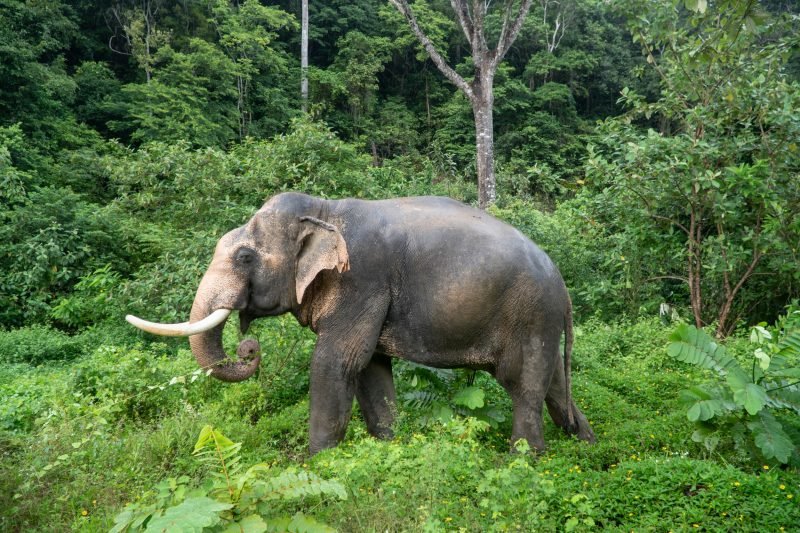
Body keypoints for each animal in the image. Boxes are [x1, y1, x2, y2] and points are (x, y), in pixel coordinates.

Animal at [127, 192, 596, 454]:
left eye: (244, 257)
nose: (249, 349)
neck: (324, 210)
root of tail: (563, 287)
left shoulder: (362, 279)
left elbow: (336, 362)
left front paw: (318, 464)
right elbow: (370, 367)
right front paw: (388, 446)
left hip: (529, 313)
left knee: (524, 386)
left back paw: (525, 459)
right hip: (540, 321)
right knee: (553, 384)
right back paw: (584, 444)